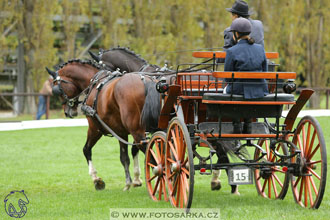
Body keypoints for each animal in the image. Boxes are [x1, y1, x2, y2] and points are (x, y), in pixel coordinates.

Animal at [46, 59, 160, 191]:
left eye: (58, 90)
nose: (67, 112)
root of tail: (146, 82)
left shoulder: (95, 128)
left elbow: (87, 150)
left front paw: (97, 180)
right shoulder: (121, 132)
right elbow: (126, 156)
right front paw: (133, 181)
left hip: (135, 131)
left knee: (148, 151)